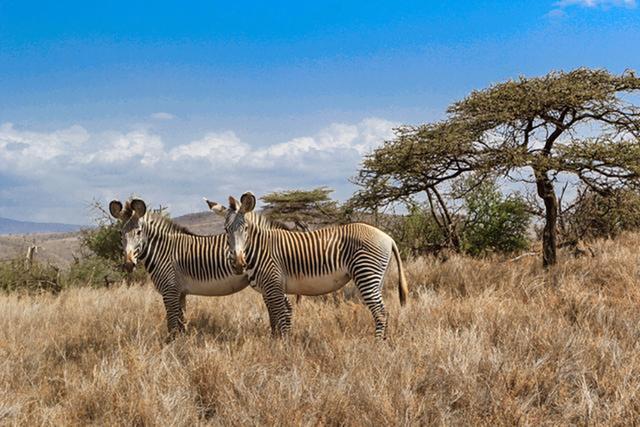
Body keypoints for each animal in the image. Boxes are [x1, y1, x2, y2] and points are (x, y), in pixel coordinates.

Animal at [109, 198, 288, 342]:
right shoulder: (180, 292)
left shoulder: (170, 290)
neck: (163, 251)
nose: (128, 264)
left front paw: (170, 346)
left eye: (139, 232)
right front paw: (181, 344)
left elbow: (172, 323)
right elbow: (181, 322)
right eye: (120, 233)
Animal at [205, 192, 410, 340]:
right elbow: (274, 317)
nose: (238, 263)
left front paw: (283, 347)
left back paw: (377, 345)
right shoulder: (269, 288)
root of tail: (387, 237)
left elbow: (281, 316)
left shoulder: (273, 284)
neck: (260, 247)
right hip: (377, 278)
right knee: (384, 311)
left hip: (366, 273)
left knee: (381, 312)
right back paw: (384, 341)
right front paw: (275, 342)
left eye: (246, 229)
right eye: (226, 230)